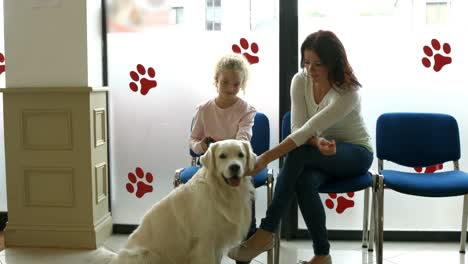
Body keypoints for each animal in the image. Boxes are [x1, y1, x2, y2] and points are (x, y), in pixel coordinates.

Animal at [91, 139, 256, 262]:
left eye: (241, 155)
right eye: (222, 156)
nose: (234, 167)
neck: (222, 190)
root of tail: (116, 258)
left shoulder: (217, 243)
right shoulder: (205, 241)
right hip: (147, 255)